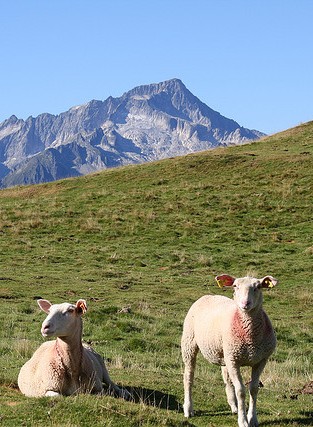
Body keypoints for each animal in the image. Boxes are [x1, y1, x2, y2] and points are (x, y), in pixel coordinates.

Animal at [182, 274, 276, 427]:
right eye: (235, 286)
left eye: (258, 287)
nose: (245, 303)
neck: (250, 336)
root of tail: (208, 295)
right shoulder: (234, 361)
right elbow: (241, 391)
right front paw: (243, 421)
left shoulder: (260, 360)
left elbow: (254, 389)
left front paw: (252, 418)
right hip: (189, 343)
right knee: (188, 376)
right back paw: (188, 409)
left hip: (224, 352)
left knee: (226, 378)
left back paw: (234, 406)